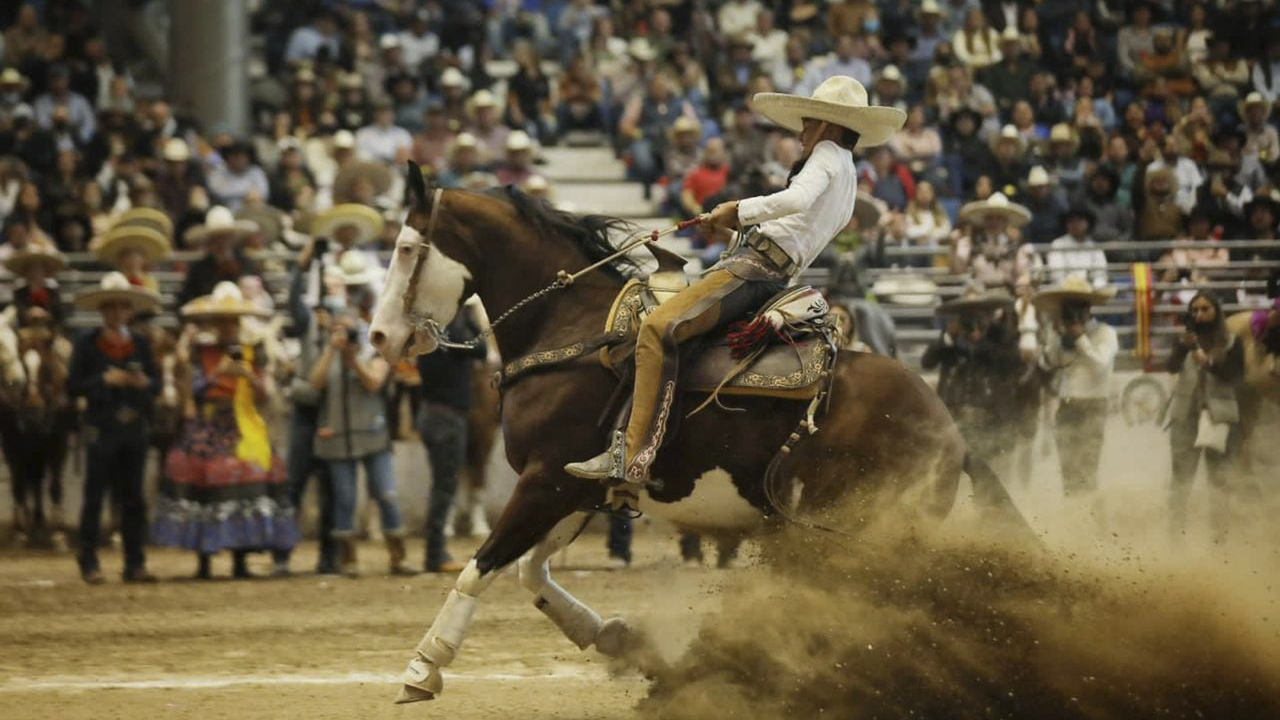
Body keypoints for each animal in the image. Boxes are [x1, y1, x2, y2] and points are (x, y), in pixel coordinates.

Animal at [368, 163, 1018, 702]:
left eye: (405, 247)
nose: (379, 338)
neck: (572, 328)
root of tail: (952, 433)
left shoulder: (546, 480)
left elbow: (482, 567)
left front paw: (423, 669)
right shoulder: (579, 489)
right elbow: (533, 571)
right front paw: (618, 639)